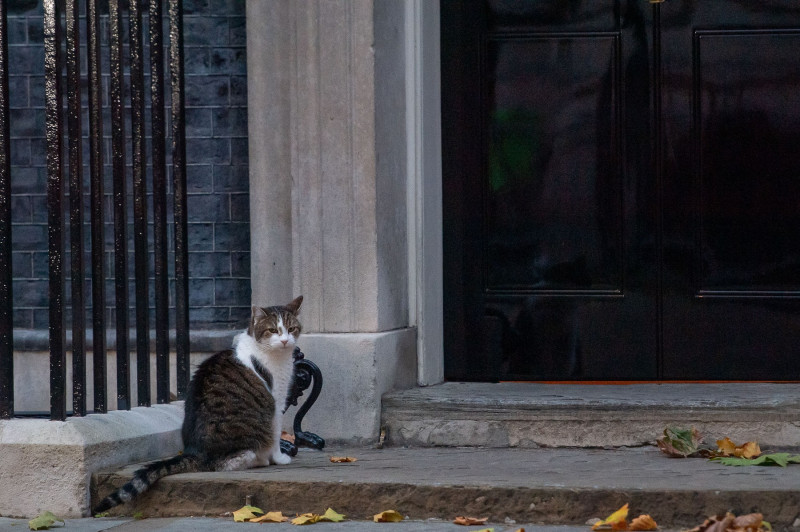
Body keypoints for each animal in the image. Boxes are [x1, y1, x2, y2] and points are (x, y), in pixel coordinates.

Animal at [93, 298, 304, 512]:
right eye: (273, 330)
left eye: (291, 328)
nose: (285, 340)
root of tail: (195, 451)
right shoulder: (277, 402)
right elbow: (276, 436)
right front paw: (279, 458)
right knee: (229, 462)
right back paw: (261, 460)